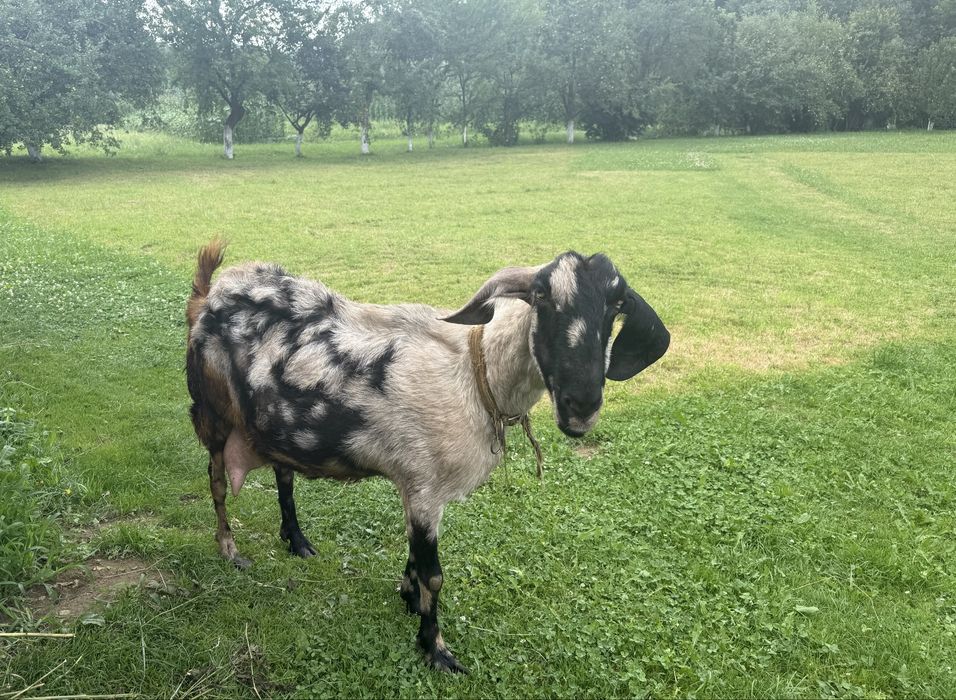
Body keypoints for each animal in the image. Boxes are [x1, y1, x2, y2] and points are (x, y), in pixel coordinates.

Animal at [185, 241, 669, 673]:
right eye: (541, 297)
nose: (581, 405)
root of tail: (211, 292)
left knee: (283, 474)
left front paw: (408, 597)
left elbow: (416, 561)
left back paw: (297, 540)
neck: (476, 373)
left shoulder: (418, 487)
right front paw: (434, 647)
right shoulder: (423, 486)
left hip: (271, 425)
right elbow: (433, 573)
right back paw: (229, 549)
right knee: (216, 481)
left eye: (617, 305)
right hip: (211, 412)